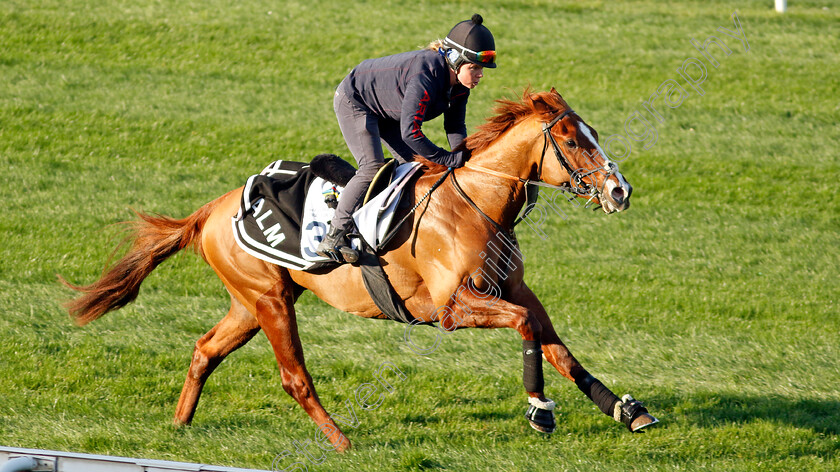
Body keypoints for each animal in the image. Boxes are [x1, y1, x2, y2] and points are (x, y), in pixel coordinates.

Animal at [64, 87, 656, 450]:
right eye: (574, 140)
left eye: (594, 132)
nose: (620, 191)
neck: (476, 203)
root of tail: (211, 209)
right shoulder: (452, 307)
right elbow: (528, 329)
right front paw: (540, 409)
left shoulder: (515, 288)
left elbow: (557, 345)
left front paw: (626, 409)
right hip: (269, 301)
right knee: (294, 377)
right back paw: (340, 441)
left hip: (252, 302)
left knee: (206, 349)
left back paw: (180, 424)